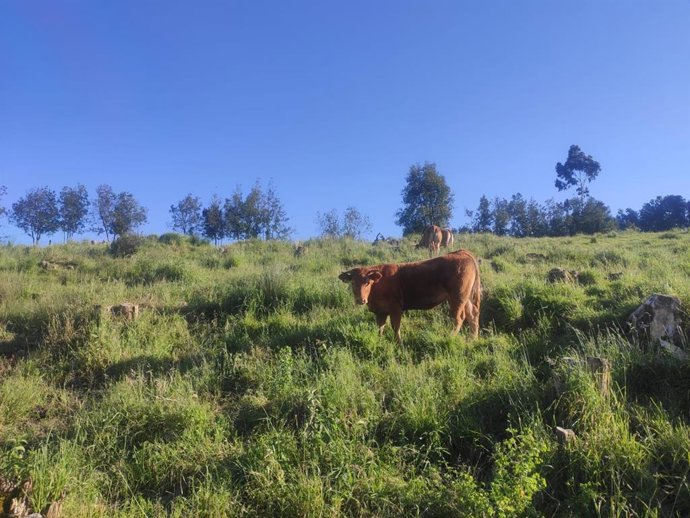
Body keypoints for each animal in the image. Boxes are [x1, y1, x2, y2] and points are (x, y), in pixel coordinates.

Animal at [338, 249, 481, 344]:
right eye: (352, 282)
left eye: (367, 282)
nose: (360, 300)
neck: (378, 284)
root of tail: (462, 252)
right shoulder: (381, 311)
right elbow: (380, 327)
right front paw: (380, 340)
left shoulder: (395, 308)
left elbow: (395, 326)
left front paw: (398, 343)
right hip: (465, 298)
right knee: (472, 314)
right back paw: (472, 339)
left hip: (458, 296)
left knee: (459, 318)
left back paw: (450, 337)